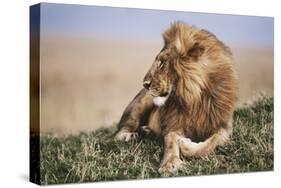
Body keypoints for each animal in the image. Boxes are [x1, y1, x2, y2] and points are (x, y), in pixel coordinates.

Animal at [114, 22, 236, 175]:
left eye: (162, 63)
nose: (145, 84)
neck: (193, 99)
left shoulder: (223, 125)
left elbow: (211, 143)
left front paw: (185, 145)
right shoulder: (174, 124)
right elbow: (171, 142)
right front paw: (169, 164)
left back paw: (146, 131)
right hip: (141, 104)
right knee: (120, 131)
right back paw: (130, 136)